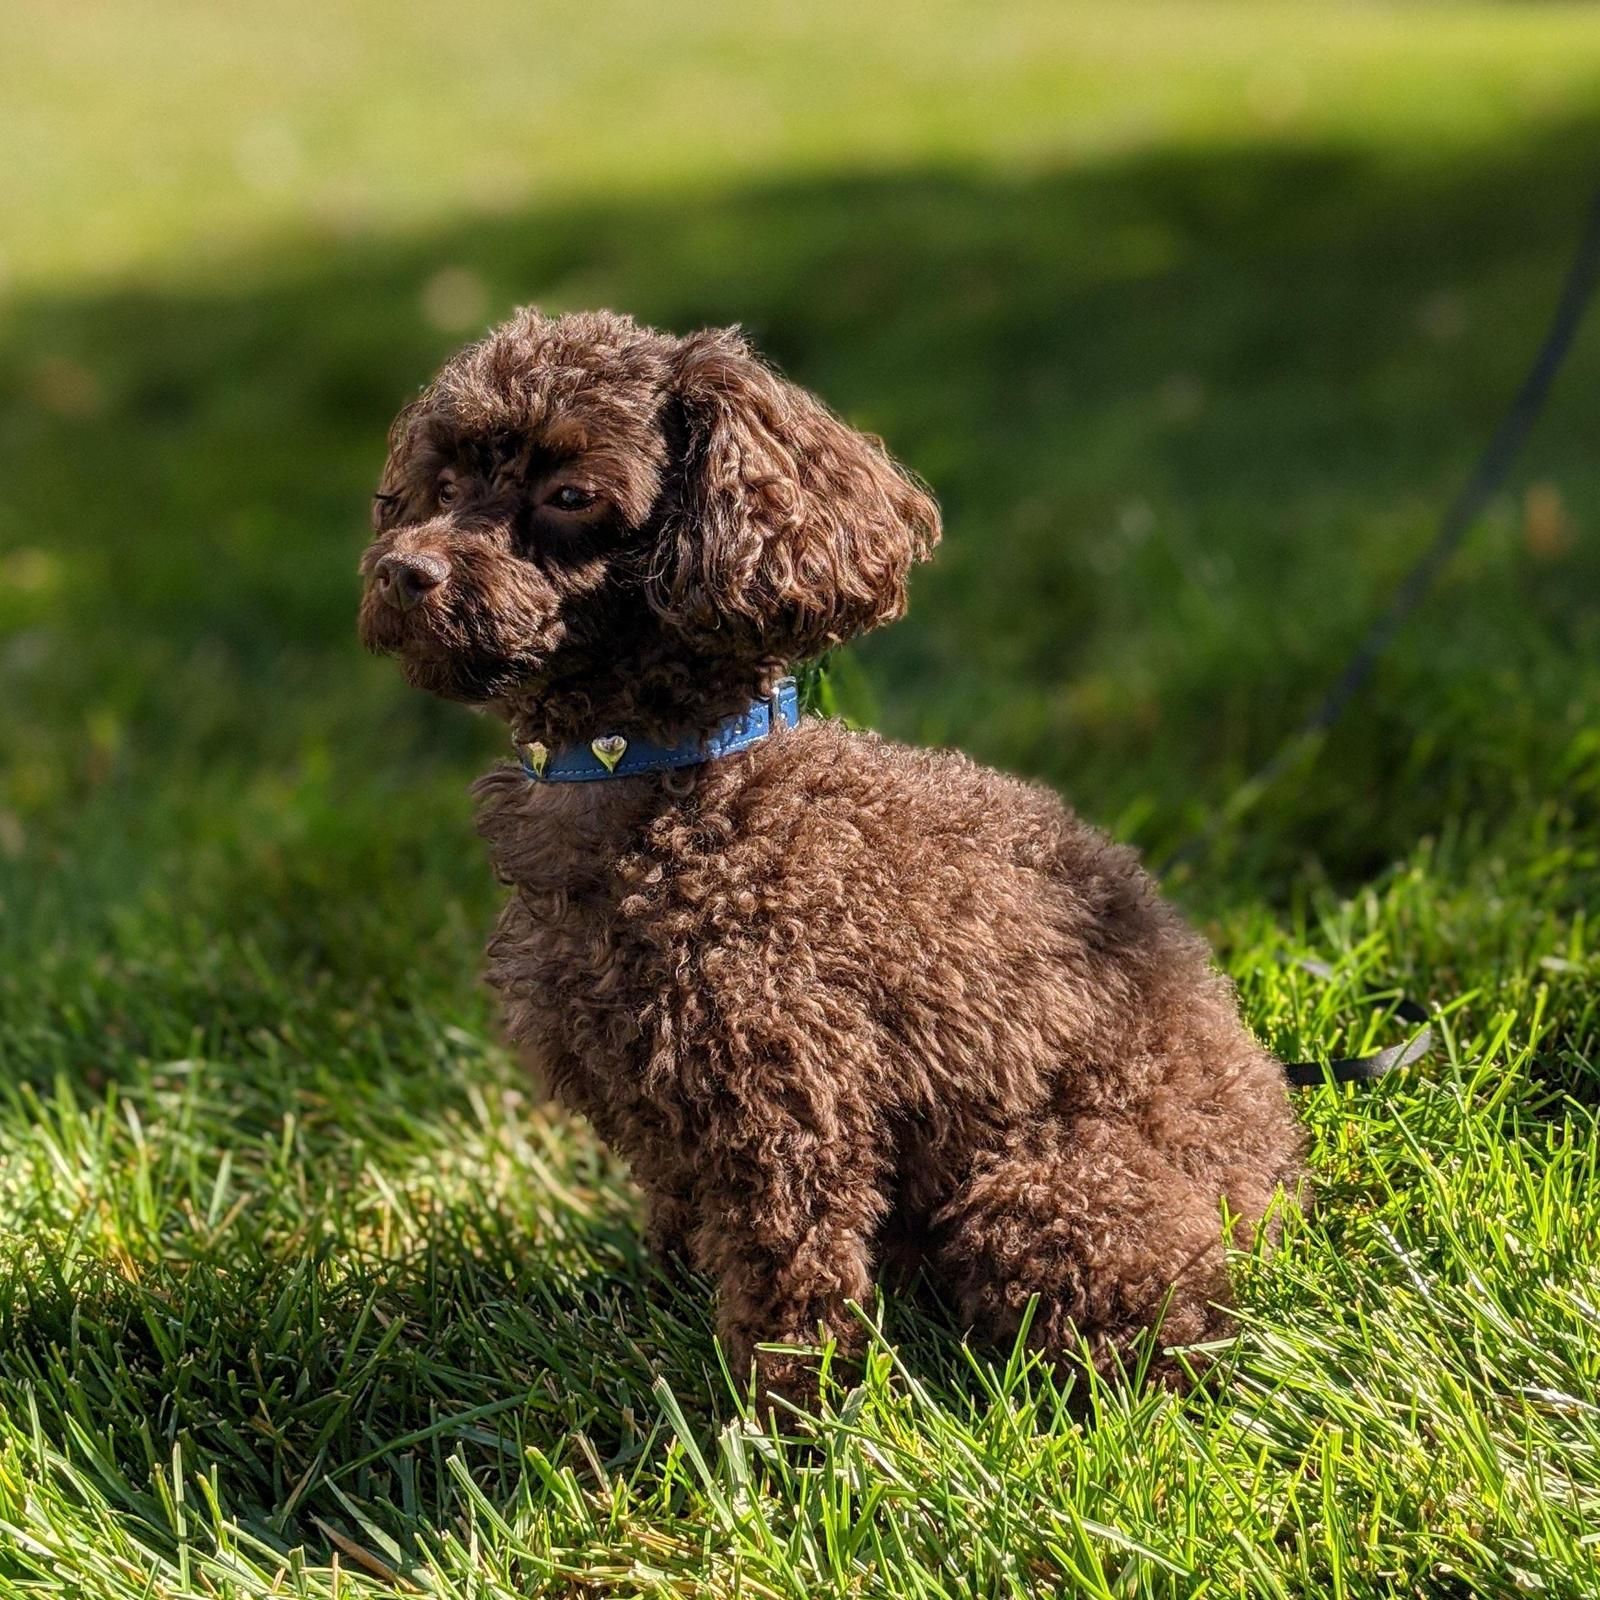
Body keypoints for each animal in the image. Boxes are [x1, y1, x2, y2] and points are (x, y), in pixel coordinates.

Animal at [360, 305, 1299, 1408]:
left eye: (571, 495)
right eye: (445, 481)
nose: (402, 571)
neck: (654, 770)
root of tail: (1283, 1168)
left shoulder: (788, 1109)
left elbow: (789, 1295)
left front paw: (778, 1428)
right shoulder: (667, 1120)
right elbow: (679, 1226)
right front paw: (658, 1317)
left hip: (1044, 1191)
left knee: (1162, 1321)